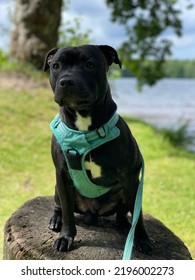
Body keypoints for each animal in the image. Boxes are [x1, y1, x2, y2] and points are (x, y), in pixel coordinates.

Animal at [43, 44, 152, 256]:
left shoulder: (131, 177)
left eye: (90, 65)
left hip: (123, 192)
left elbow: (138, 215)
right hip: (58, 189)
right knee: (60, 206)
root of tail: (91, 213)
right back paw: (55, 220)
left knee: (122, 214)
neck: (84, 124)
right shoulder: (62, 175)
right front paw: (65, 238)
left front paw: (142, 239)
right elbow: (68, 212)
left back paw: (125, 226)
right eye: (56, 66)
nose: (66, 81)